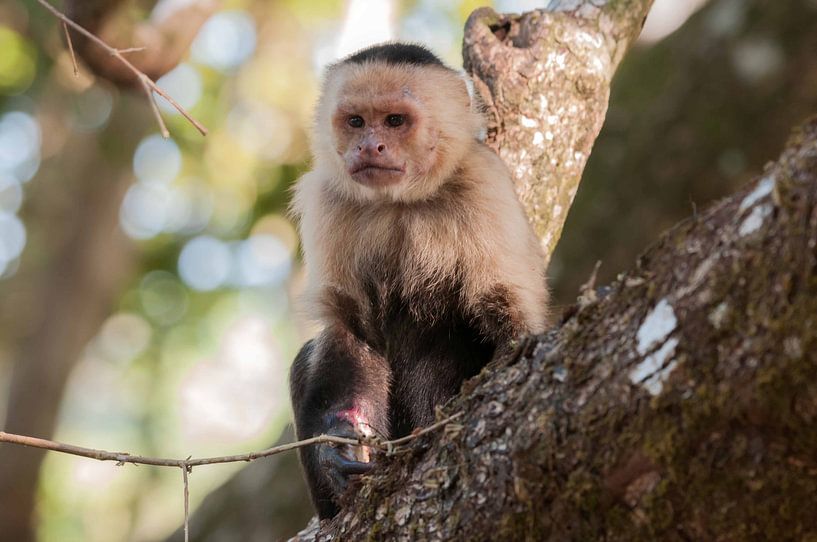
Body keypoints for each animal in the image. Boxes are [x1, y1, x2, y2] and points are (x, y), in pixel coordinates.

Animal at [286, 42, 548, 520]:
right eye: (356, 121)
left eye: (395, 121)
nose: (370, 145)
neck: (400, 202)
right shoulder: (327, 201)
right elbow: (351, 331)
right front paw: (339, 443)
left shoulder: (485, 185)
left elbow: (506, 312)